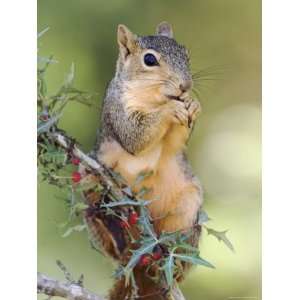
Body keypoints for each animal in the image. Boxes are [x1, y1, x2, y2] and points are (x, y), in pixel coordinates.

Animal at [83, 22, 203, 298]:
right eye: (149, 60)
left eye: (186, 54)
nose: (185, 86)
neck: (154, 98)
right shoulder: (117, 109)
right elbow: (135, 137)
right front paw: (170, 110)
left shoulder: (174, 144)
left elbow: (175, 142)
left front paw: (193, 104)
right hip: (89, 180)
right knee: (112, 244)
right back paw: (113, 229)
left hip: (188, 207)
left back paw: (171, 260)